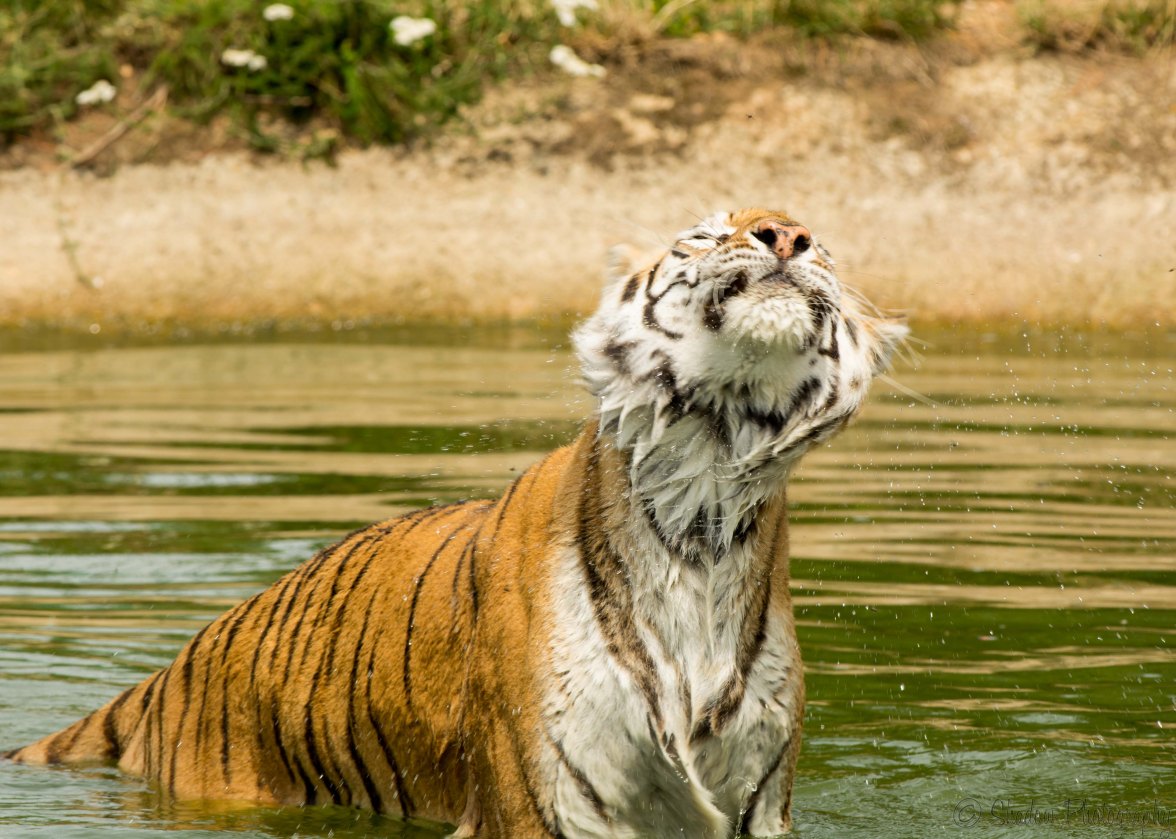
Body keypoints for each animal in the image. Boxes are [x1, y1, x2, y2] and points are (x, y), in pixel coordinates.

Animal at [6, 208, 906, 838]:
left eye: (818, 244)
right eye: (705, 232)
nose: (786, 233)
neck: (704, 499)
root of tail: (175, 666)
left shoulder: (756, 795)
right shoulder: (542, 799)